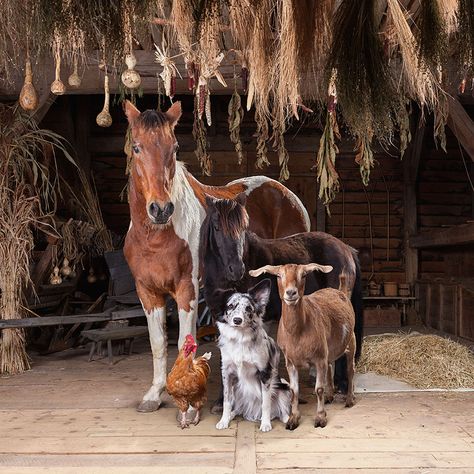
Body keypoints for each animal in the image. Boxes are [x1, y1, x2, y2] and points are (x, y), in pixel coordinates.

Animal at [121, 101, 312, 412]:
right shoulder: (147, 292)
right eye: (136, 147)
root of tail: (287, 194)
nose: (161, 209)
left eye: (174, 148)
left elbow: (184, 341)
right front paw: (154, 395)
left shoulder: (187, 290)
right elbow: (158, 342)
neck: (157, 235)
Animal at [214, 280, 288, 432]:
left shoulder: (265, 373)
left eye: (248, 308)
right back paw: (232, 414)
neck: (240, 338)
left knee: (281, 407)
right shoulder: (227, 373)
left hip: (283, 386)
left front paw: (265, 424)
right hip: (237, 388)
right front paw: (224, 420)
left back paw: (286, 418)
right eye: (230, 306)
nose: (237, 320)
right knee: (237, 406)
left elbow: (266, 403)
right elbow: (226, 401)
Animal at [248, 262, 356, 430]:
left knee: (350, 370)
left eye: (303, 275)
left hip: (351, 340)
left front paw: (320, 418)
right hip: (329, 349)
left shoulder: (319, 359)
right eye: (278, 275)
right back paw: (330, 396)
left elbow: (319, 388)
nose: (291, 293)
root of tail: (340, 291)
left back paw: (349, 399)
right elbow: (294, 390)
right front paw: (293, 418)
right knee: (331, 366)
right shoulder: (290, 361)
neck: (298, 332)